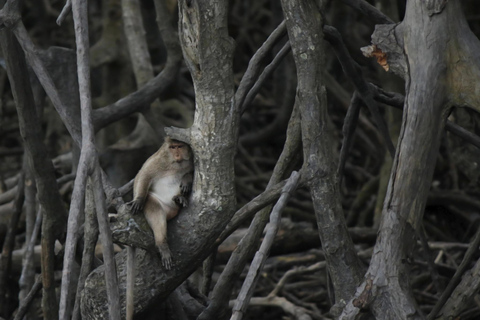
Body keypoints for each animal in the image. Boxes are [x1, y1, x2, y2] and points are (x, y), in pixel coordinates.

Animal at [125, 136, 193, 318]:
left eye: (180, 146)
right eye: (172, 147)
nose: (177, 154)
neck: (176, 164)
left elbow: (191, 172)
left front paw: (186, 180)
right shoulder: (158, 160)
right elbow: (144, 175)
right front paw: (139, 199)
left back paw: (179, 199)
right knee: (152, 205)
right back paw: (162, 244)